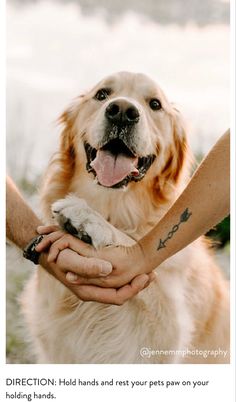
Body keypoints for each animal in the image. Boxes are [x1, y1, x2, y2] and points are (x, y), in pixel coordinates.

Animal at [21, 70, 229, 362]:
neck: (114, 207)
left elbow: (142, 258)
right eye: (102, 94)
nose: (122, 112)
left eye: (155, 104)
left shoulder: (167, 328)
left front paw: (88, 218)